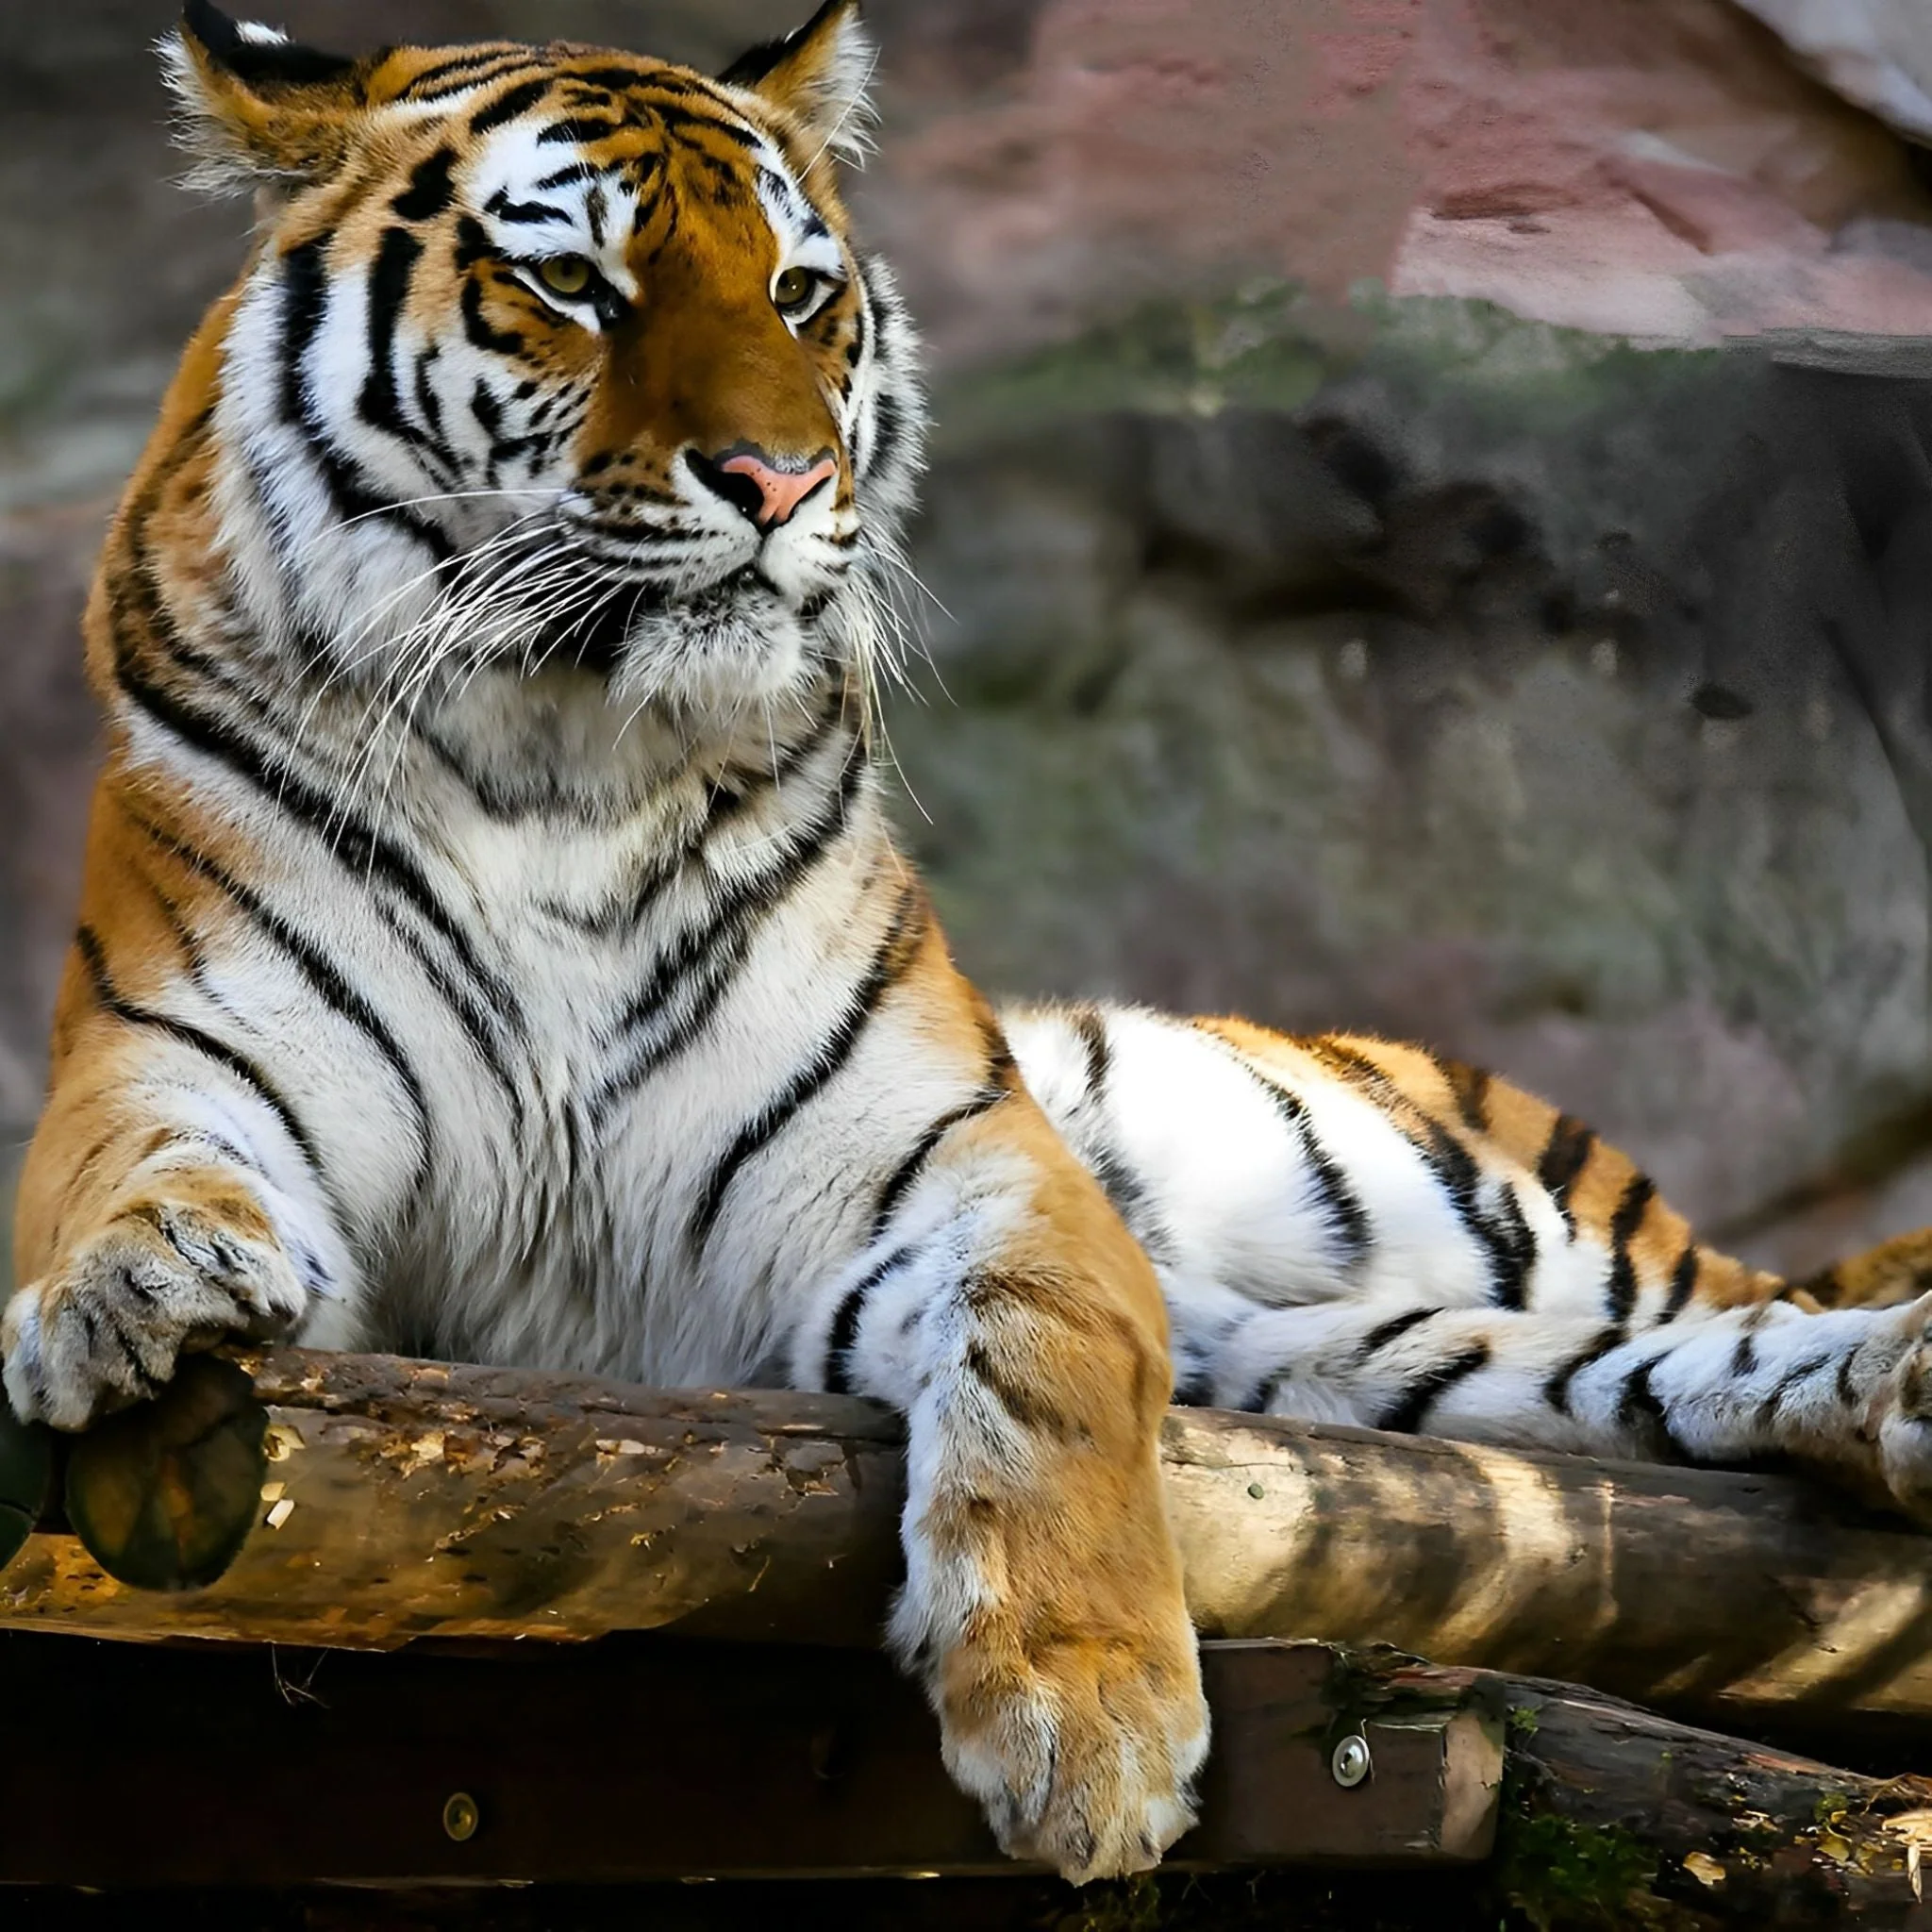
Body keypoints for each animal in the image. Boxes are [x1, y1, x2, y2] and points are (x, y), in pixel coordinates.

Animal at [13, 0, 1932, 1885]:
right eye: (573, 283)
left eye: (799, 292)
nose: (780, 476)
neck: (561, 759)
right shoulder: (175, 1057)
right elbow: (131, 1174)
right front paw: (133, 1290)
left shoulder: (966, 1165)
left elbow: (1048, 1365)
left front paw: (1087, 1727)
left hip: (1449, 1195)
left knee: (1728, 1309)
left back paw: (1890, 1363)